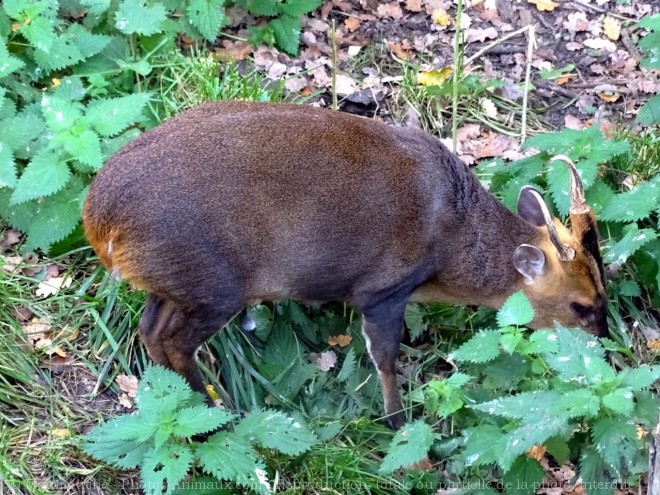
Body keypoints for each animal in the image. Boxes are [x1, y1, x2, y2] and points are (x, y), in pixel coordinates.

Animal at [84, 101, 608, 430]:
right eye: (581, 305)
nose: (605, 344)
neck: (453, 242)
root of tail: (98, 220)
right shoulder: (383, 289)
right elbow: (385, 358)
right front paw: (398, 422)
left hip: (177, 281)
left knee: (151, 330)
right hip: (214, 284)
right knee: (172, 340)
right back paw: (218, 414)